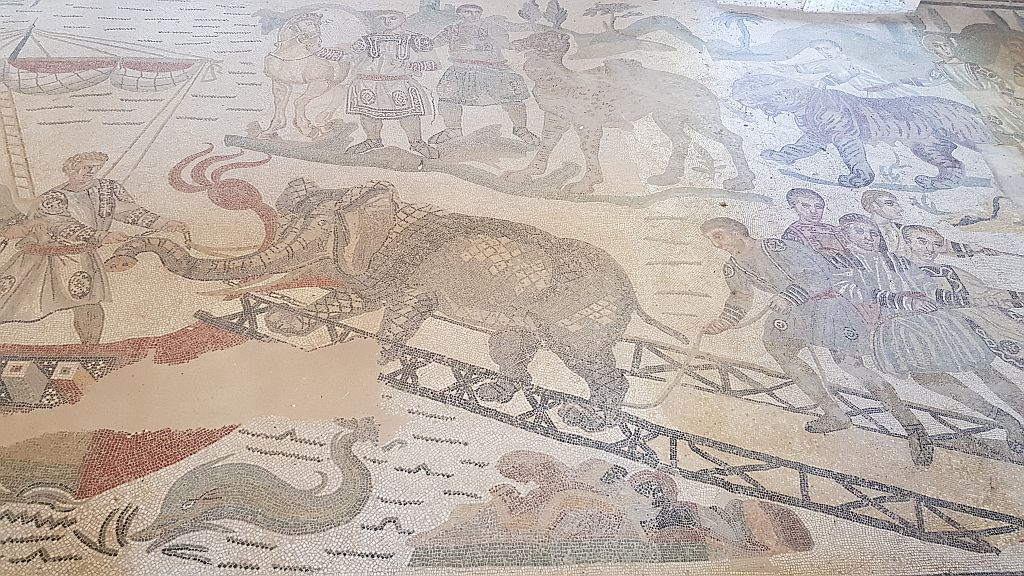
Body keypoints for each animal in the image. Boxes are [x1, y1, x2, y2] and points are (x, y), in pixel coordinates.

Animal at [105, 179, 687, 430]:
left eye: (321, 231)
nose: (122, 257)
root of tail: (635, 295)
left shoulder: (410, 272)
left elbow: (391, 308)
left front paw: (375, 360)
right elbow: (354, 299)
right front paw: (282, 319)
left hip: (577, 319)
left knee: (596, 369)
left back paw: (588, 418)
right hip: (527, 324)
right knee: (511, 352)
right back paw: (496, 393)